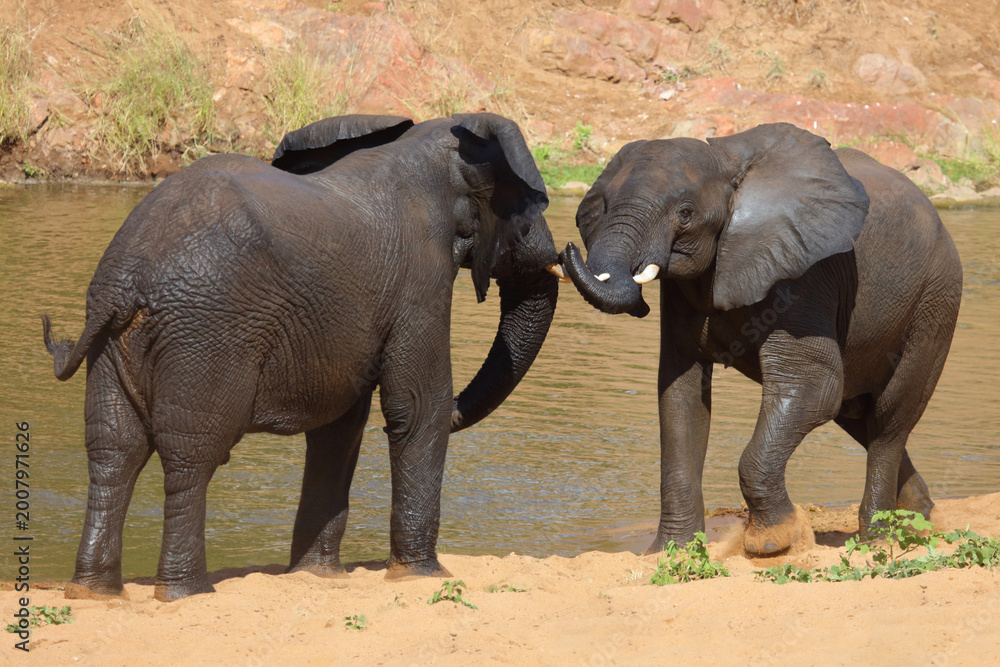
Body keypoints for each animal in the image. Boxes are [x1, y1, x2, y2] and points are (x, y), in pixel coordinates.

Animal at [43, 112, 563, 601]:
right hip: (205, 334)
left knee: (114, 450)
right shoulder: (420, 279)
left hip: (116, 341)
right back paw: (186, 593)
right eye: (526, 212)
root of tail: (126, 274)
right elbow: (418, 407)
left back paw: (94, 591)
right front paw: (423, 574)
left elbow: (340, 427)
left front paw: (317, 575)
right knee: (190, 454)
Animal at [561, 122, 962, 555]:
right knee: (859, 416)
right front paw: (669, 551)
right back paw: (922, 518)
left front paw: (773, 541)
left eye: (685, 213)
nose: (565, 250)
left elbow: (813, 387)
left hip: (935, 303)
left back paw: (880, 538)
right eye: (602, 207)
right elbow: (680, 396)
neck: (726, 163)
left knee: (889, 420)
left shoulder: (805, 274)